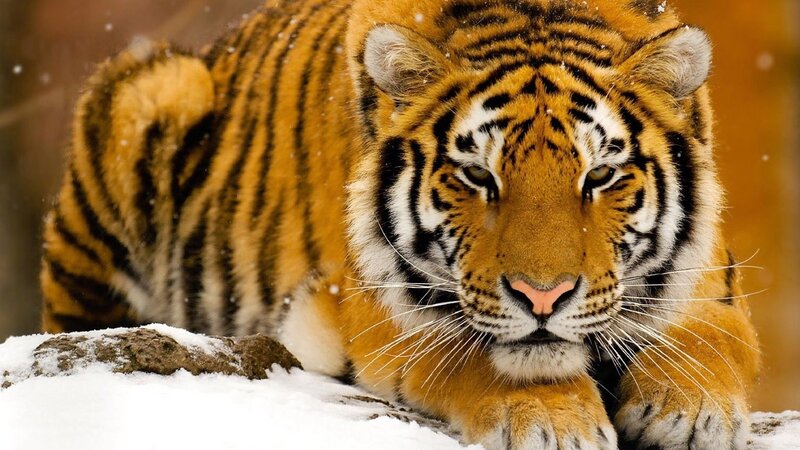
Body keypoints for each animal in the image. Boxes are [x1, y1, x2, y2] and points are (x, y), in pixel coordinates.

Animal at [39, 0, 761, 448]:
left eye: (600, 176)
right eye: (477, 177)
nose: (544, 297)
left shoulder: (711, 281)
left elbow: (710, 340)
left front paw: (689, 412)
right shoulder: (374, 305)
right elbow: (480, 353)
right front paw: (555, 422)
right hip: (152, 92)